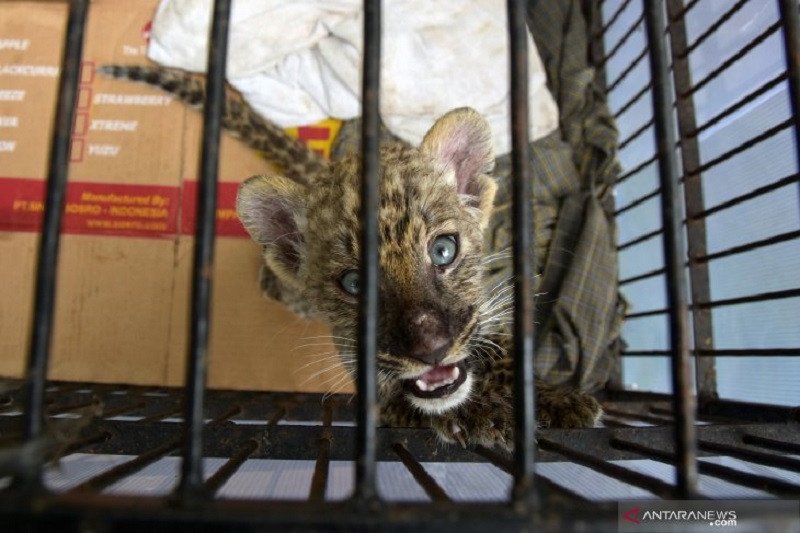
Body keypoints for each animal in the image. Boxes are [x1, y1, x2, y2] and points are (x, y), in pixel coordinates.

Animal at [100, 65, 602, 449]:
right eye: (354, 284)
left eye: (444, 250)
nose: (431, 348)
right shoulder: (375, 394)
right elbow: (413, 403)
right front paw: (479, 417)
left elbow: (499, 348)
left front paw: (558, 400)